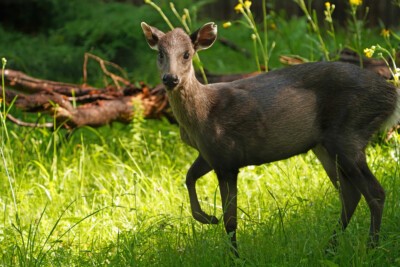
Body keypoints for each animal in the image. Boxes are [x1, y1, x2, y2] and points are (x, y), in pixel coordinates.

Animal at [141, 21, 400, 255]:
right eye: (160, 53)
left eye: (187, 54)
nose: (170, 79)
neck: (202, 114)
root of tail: (391, 95)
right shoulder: (210, 154)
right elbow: (189, 177)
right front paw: (207, 218)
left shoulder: (227, 157)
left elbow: (230, 220)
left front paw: (235, 257)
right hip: (325, 146)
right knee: (350, 194)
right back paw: (329, 249)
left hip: (348, 133)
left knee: (375, 192)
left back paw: (371, 248)